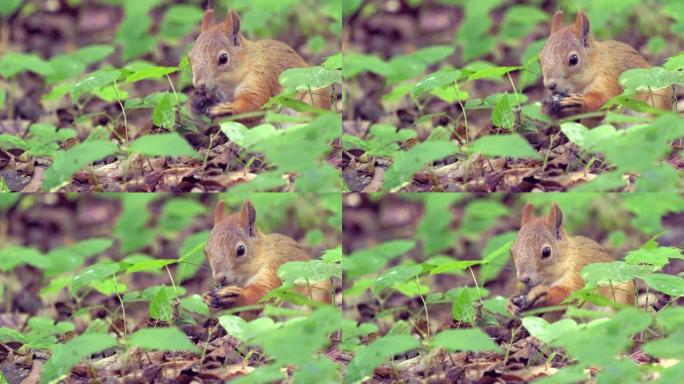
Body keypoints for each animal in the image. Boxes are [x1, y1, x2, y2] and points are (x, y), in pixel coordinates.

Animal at [187, 7, 332, 124]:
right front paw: (196, 104)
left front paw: (228, 108)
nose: (198, 85)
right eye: (189, 57)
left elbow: (255, 105)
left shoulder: (260, 78)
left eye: (223, 58)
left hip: (313, 102)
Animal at [203, 201, 332, 318]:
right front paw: (207, 298)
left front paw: (235, 297)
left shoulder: (273, 269)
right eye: (205, 251)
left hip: (320, 293)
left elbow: (265, 293)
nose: (219, 278)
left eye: (241, 250)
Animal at [504, 204, 632, 320]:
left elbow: (568, 294)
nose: (523, 279)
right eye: (511, 251)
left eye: (546, 252)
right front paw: (509, 304)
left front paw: (538, 293)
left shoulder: (577, 275)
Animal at [540, 11, 672, 125]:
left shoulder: (609, 78)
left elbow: (606, 100)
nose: (549, 85)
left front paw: (578, 102)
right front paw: (548, 107)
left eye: (574, 59)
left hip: (657, 103)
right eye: (539, 58)